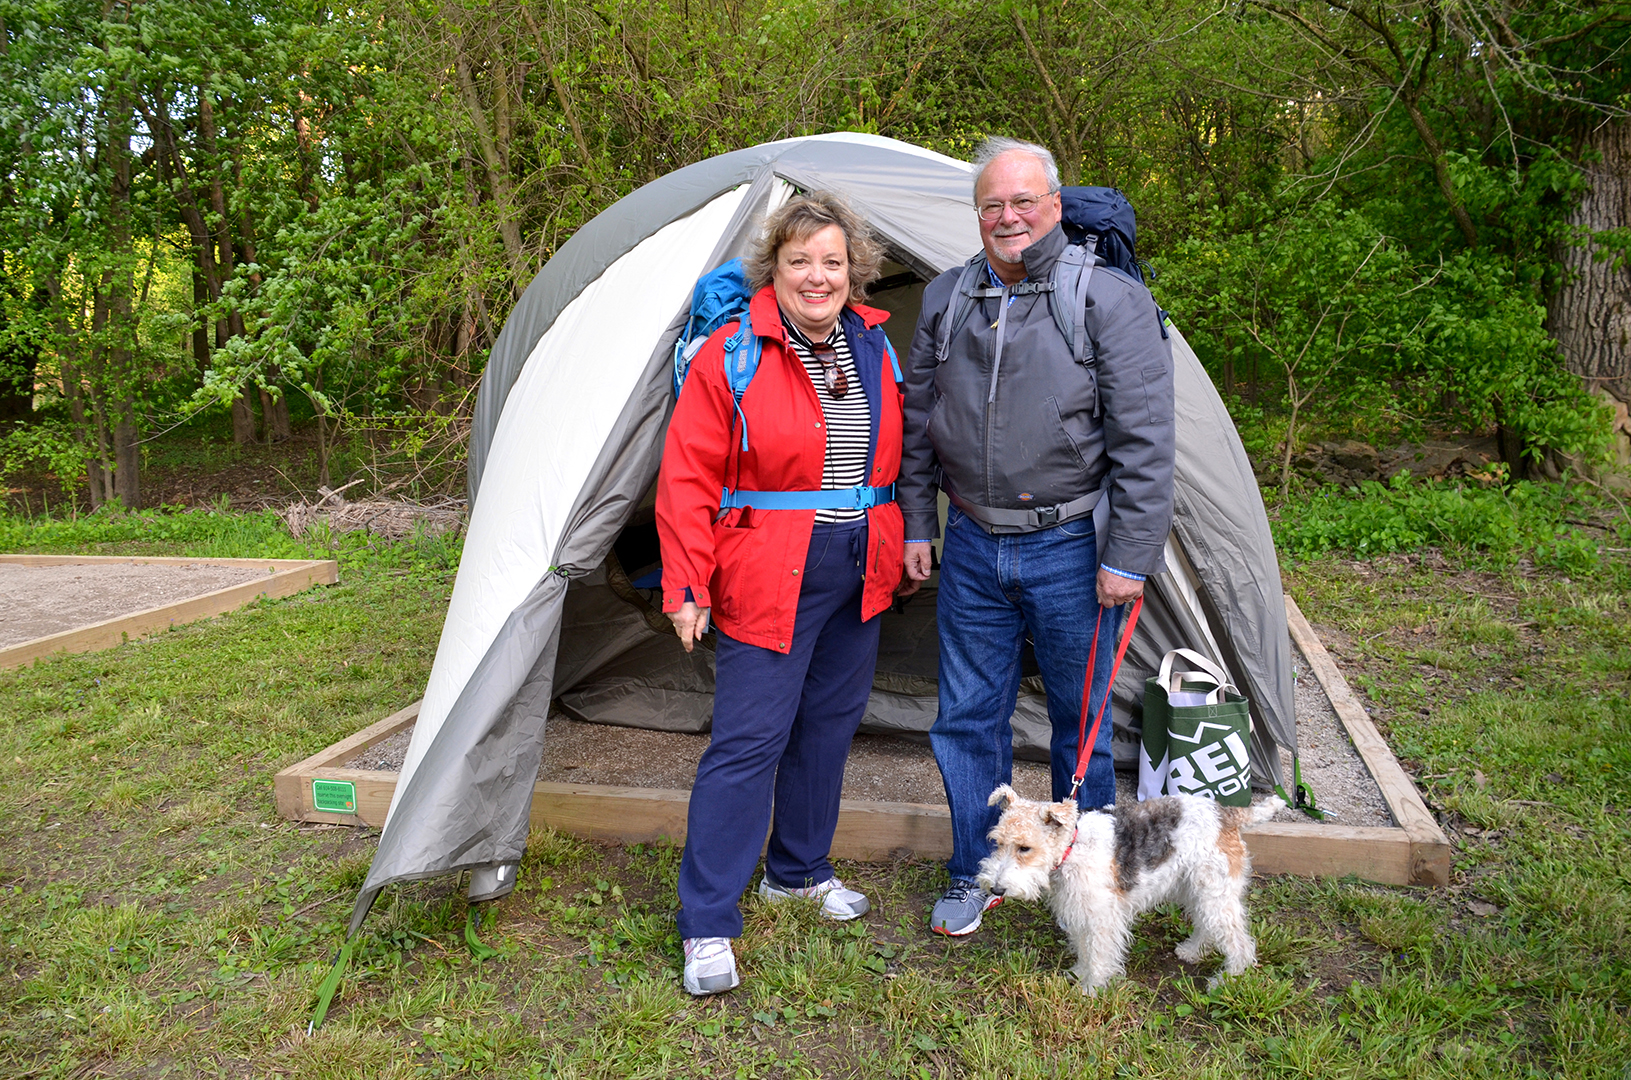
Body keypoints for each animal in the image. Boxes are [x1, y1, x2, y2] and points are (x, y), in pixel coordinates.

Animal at [972, 786, 1278, 998]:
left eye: (1025, 848)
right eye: (997, 842)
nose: (996, 888)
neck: (1072, 848)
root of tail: (1226, 813)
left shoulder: (1101, 918)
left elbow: (1098, 953)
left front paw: (1091, 989)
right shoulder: (1081, 910)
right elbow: (1084, 948)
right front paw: (1079, 972)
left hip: (1214, 891)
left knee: (1240, 944)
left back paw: (1226, 980)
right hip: (1196, 889)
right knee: (1207, 926)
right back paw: (1192, 951)